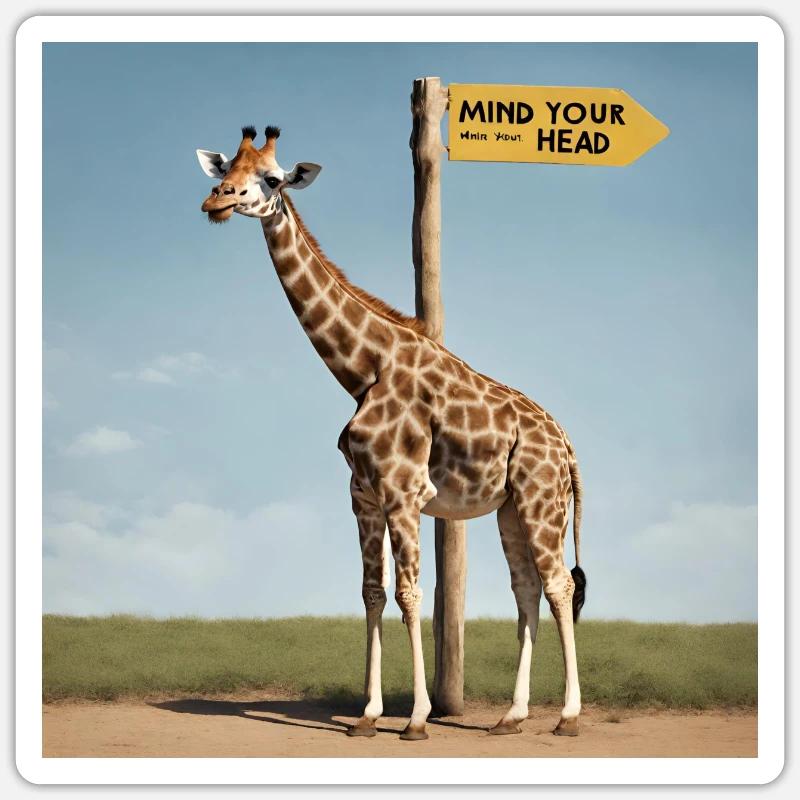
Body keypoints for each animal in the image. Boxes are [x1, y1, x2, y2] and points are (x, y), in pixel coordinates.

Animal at [197, 126, 587, 740]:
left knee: (559, 586)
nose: (216, 200)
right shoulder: (362, 495)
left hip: (542, 498)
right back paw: (512, 715)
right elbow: (372, 593)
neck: (362, 369)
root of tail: (567, 443)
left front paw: (417, 718)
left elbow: (410, 593)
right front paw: (367, 715)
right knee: (526, 591)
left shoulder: (404, 492)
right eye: (227, 168)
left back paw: (568, 716)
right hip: (508, 507)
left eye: (273, 178)